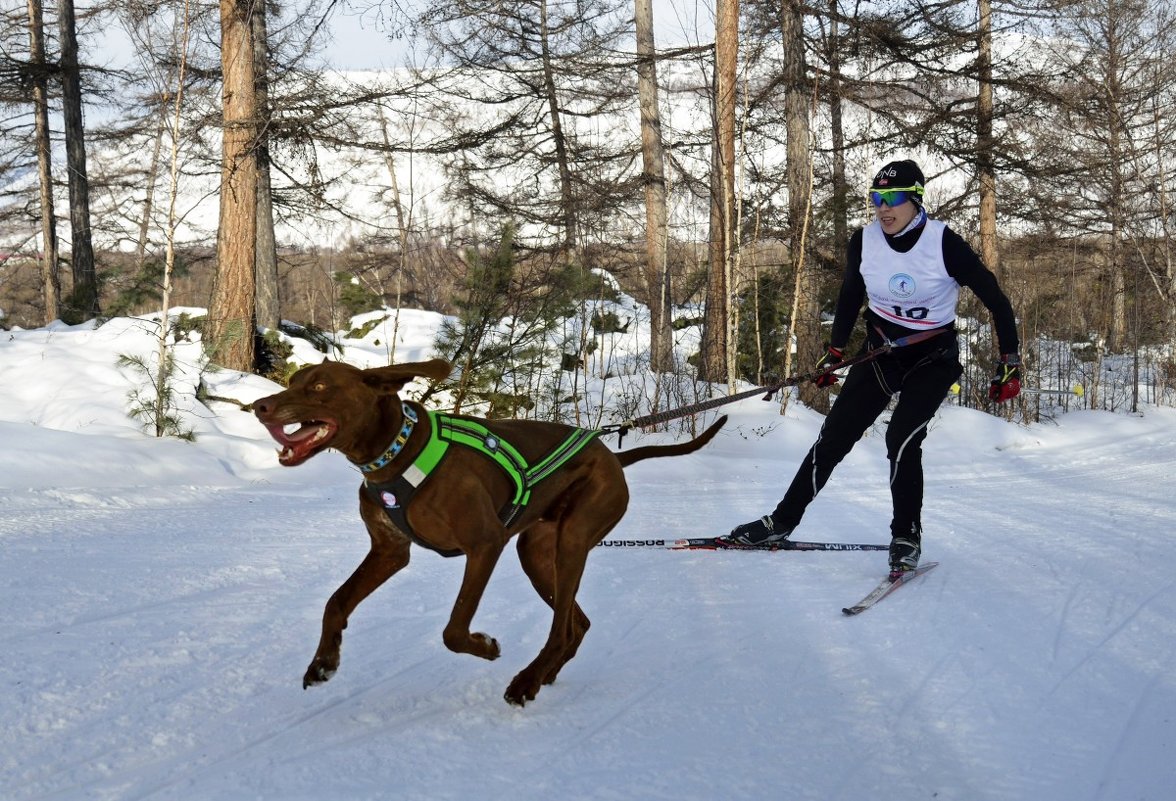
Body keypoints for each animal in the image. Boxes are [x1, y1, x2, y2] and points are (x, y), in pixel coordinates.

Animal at [252, 359, 719, 701]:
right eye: (292, 381)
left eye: (318, 386)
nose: (260, 405)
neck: (396, 453)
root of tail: (611, 455)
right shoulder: (389, 551)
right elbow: (336, 601)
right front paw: (324, 662)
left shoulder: (485, 544)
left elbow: (454, 628)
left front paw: (485, 646)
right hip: (537, 552)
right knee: (577, 623)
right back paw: (543, 675)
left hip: (572, 540)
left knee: (561, 628)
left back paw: (527, 680)